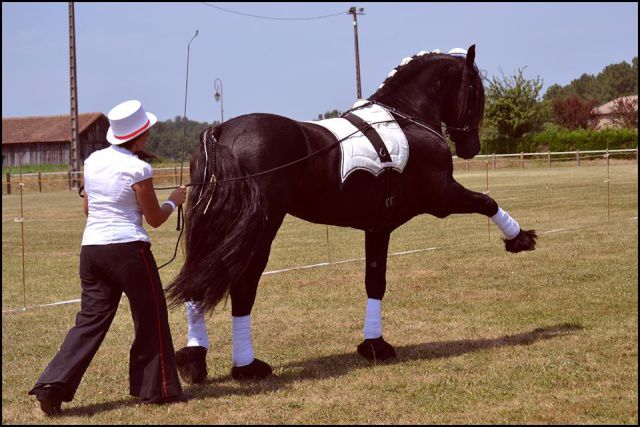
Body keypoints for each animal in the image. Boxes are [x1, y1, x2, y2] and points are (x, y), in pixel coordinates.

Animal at [166, 45, 537, 383]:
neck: (407, 118)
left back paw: (193, 361)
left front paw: (374, 345)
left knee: (196, 281)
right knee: (242, 286)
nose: (471, 148)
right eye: (476, 90)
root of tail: (221, 132)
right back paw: (247, 367)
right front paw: (520, 238)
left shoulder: (377, 227)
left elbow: (374, 282)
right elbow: (487, 201)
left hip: (214, 226)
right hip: (259, 229)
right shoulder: (442, 198)